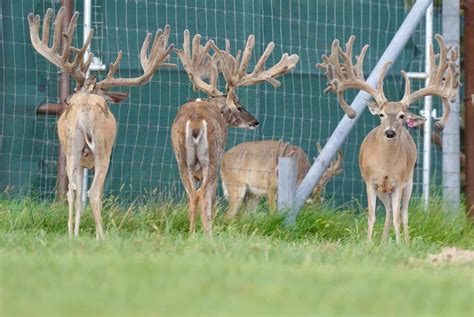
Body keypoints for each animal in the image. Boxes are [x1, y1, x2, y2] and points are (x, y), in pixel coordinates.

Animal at [27, 6, 174, 237]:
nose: (66, 100)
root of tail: (85, 108)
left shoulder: (79, 160)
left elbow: (78, 197)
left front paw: (76, 233)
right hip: (103, 150)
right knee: (93, 192)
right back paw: (102, 237)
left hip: (71, 149)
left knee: (72, 191)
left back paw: (71, 234)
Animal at [172, 30, 298, 236]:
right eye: (239, 106)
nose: (255, 122)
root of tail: (196, 121)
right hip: (212, 158)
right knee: (203, 195)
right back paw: (208, 235)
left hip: (182, 160)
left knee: (192, 195)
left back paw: (191, 234)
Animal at [318, 34, 460, 242]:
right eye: (381, 115)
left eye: (401, 116)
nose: (390, 132)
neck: (385, 164)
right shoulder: (370, 181)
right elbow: (372, 215)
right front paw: (369, 243)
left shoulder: (398, 182)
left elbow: (398, 217)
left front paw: (399, 243)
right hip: (383, 190)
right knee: (388, 211)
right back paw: (383, 242)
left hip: (408, 182)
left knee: (403, 213)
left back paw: (405, 242)